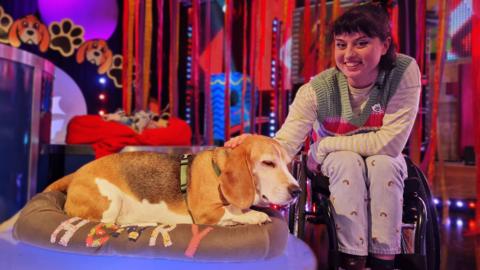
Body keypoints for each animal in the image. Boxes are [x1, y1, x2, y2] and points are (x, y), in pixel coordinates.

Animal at [45, 135, 300, 226]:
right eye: (268, 163)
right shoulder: (206, 212)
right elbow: (233, 211)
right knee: (107, 224)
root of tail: (76, 174)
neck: (217, 170)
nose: (297, 191)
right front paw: (254, 215)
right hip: (111, 199)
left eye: (288, 163)